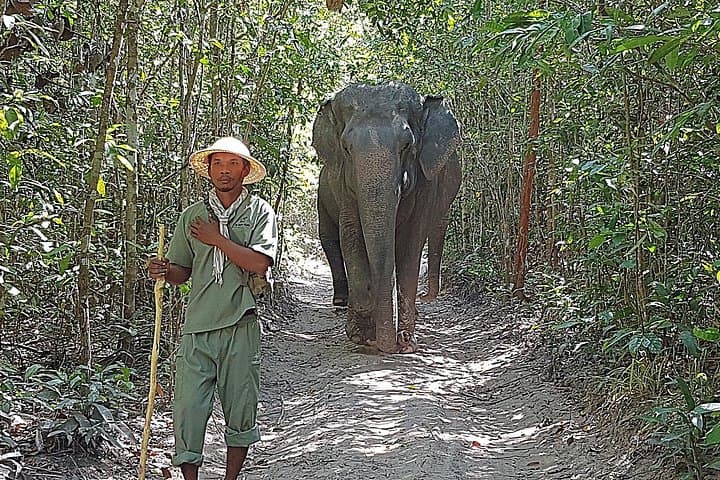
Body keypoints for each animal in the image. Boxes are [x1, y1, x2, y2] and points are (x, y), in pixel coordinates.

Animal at [312, 82, 461, 354]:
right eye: (346, 148)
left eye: (406, 145)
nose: (388, 343)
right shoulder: (343, 185)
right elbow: (351, 234)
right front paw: (361, 333)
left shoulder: (426, 183)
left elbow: (411, 245)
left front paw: (406, 341)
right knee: (329, 239)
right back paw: (342, 302)